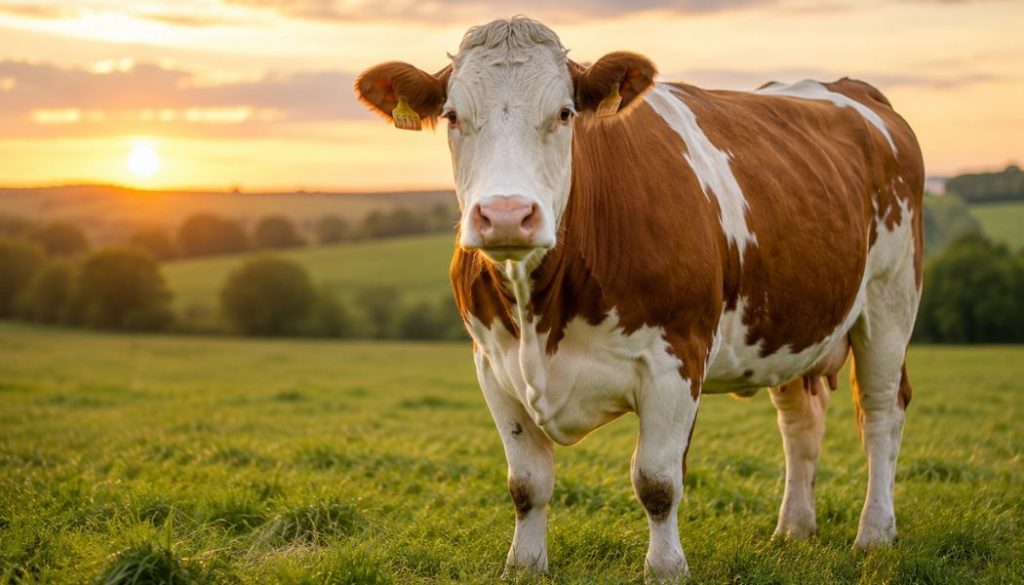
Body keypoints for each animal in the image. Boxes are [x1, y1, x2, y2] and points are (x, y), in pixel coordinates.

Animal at [355, 16, 923, 582]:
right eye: (453, 115)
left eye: (565, 113)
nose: (507, 215)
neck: (543, 312)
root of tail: (851, 89)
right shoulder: (492, 365)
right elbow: (527, 482)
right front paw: (525, 564)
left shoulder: (676, 359)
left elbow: (656, 481)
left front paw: (666, 568)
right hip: (787, 323)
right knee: (801, 418)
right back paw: (793, 529)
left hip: (890, 302)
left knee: (881, 412)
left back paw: (874, 534)